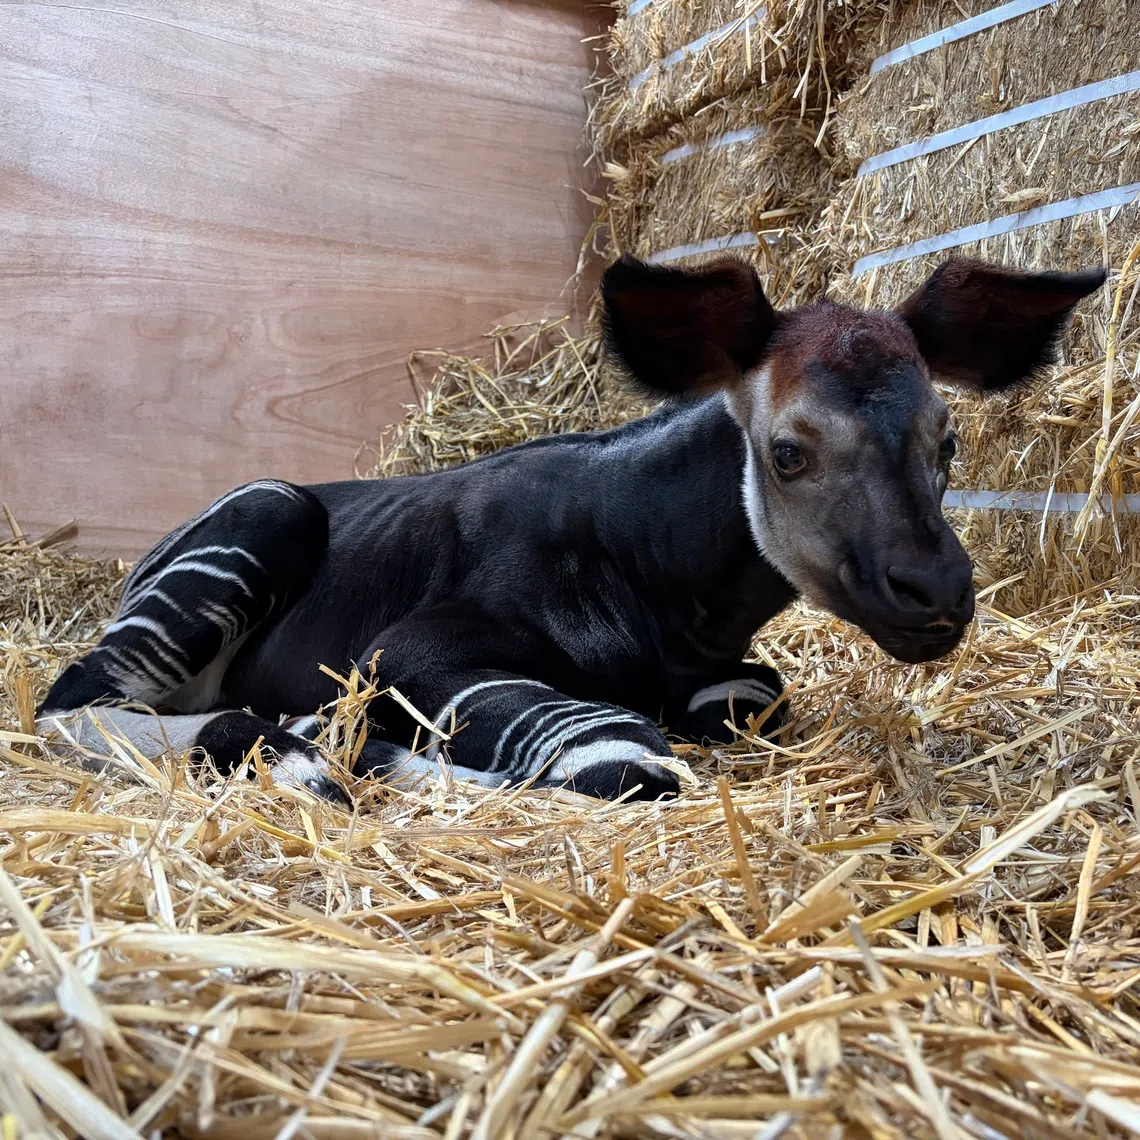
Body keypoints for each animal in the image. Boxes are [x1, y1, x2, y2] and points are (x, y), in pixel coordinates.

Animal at [37, 255, 1105, 805]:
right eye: (789, 451)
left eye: (948, 441)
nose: (939, 593)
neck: (666, 587)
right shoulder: (409, 651)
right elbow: (621, 751)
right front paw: (370, 754)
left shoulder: (730, 678)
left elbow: (750, 698)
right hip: (263, 515)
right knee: (70, 701)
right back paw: (298, 748)